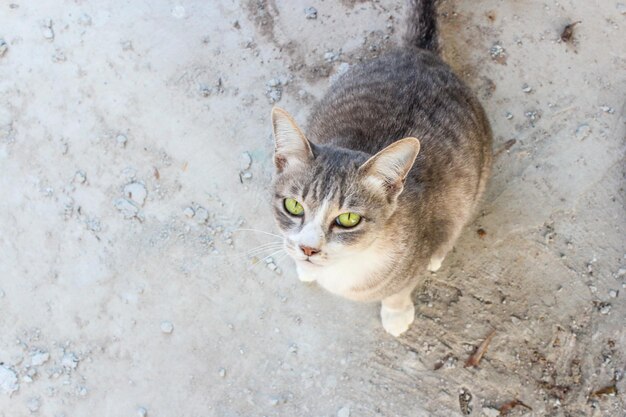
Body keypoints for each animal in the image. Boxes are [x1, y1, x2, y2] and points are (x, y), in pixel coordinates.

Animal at [268, 0, 492, 334]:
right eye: (293, 206)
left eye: (348, 219)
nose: (308, 250)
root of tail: (418, 52)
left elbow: (399, 290)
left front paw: (396, 313)